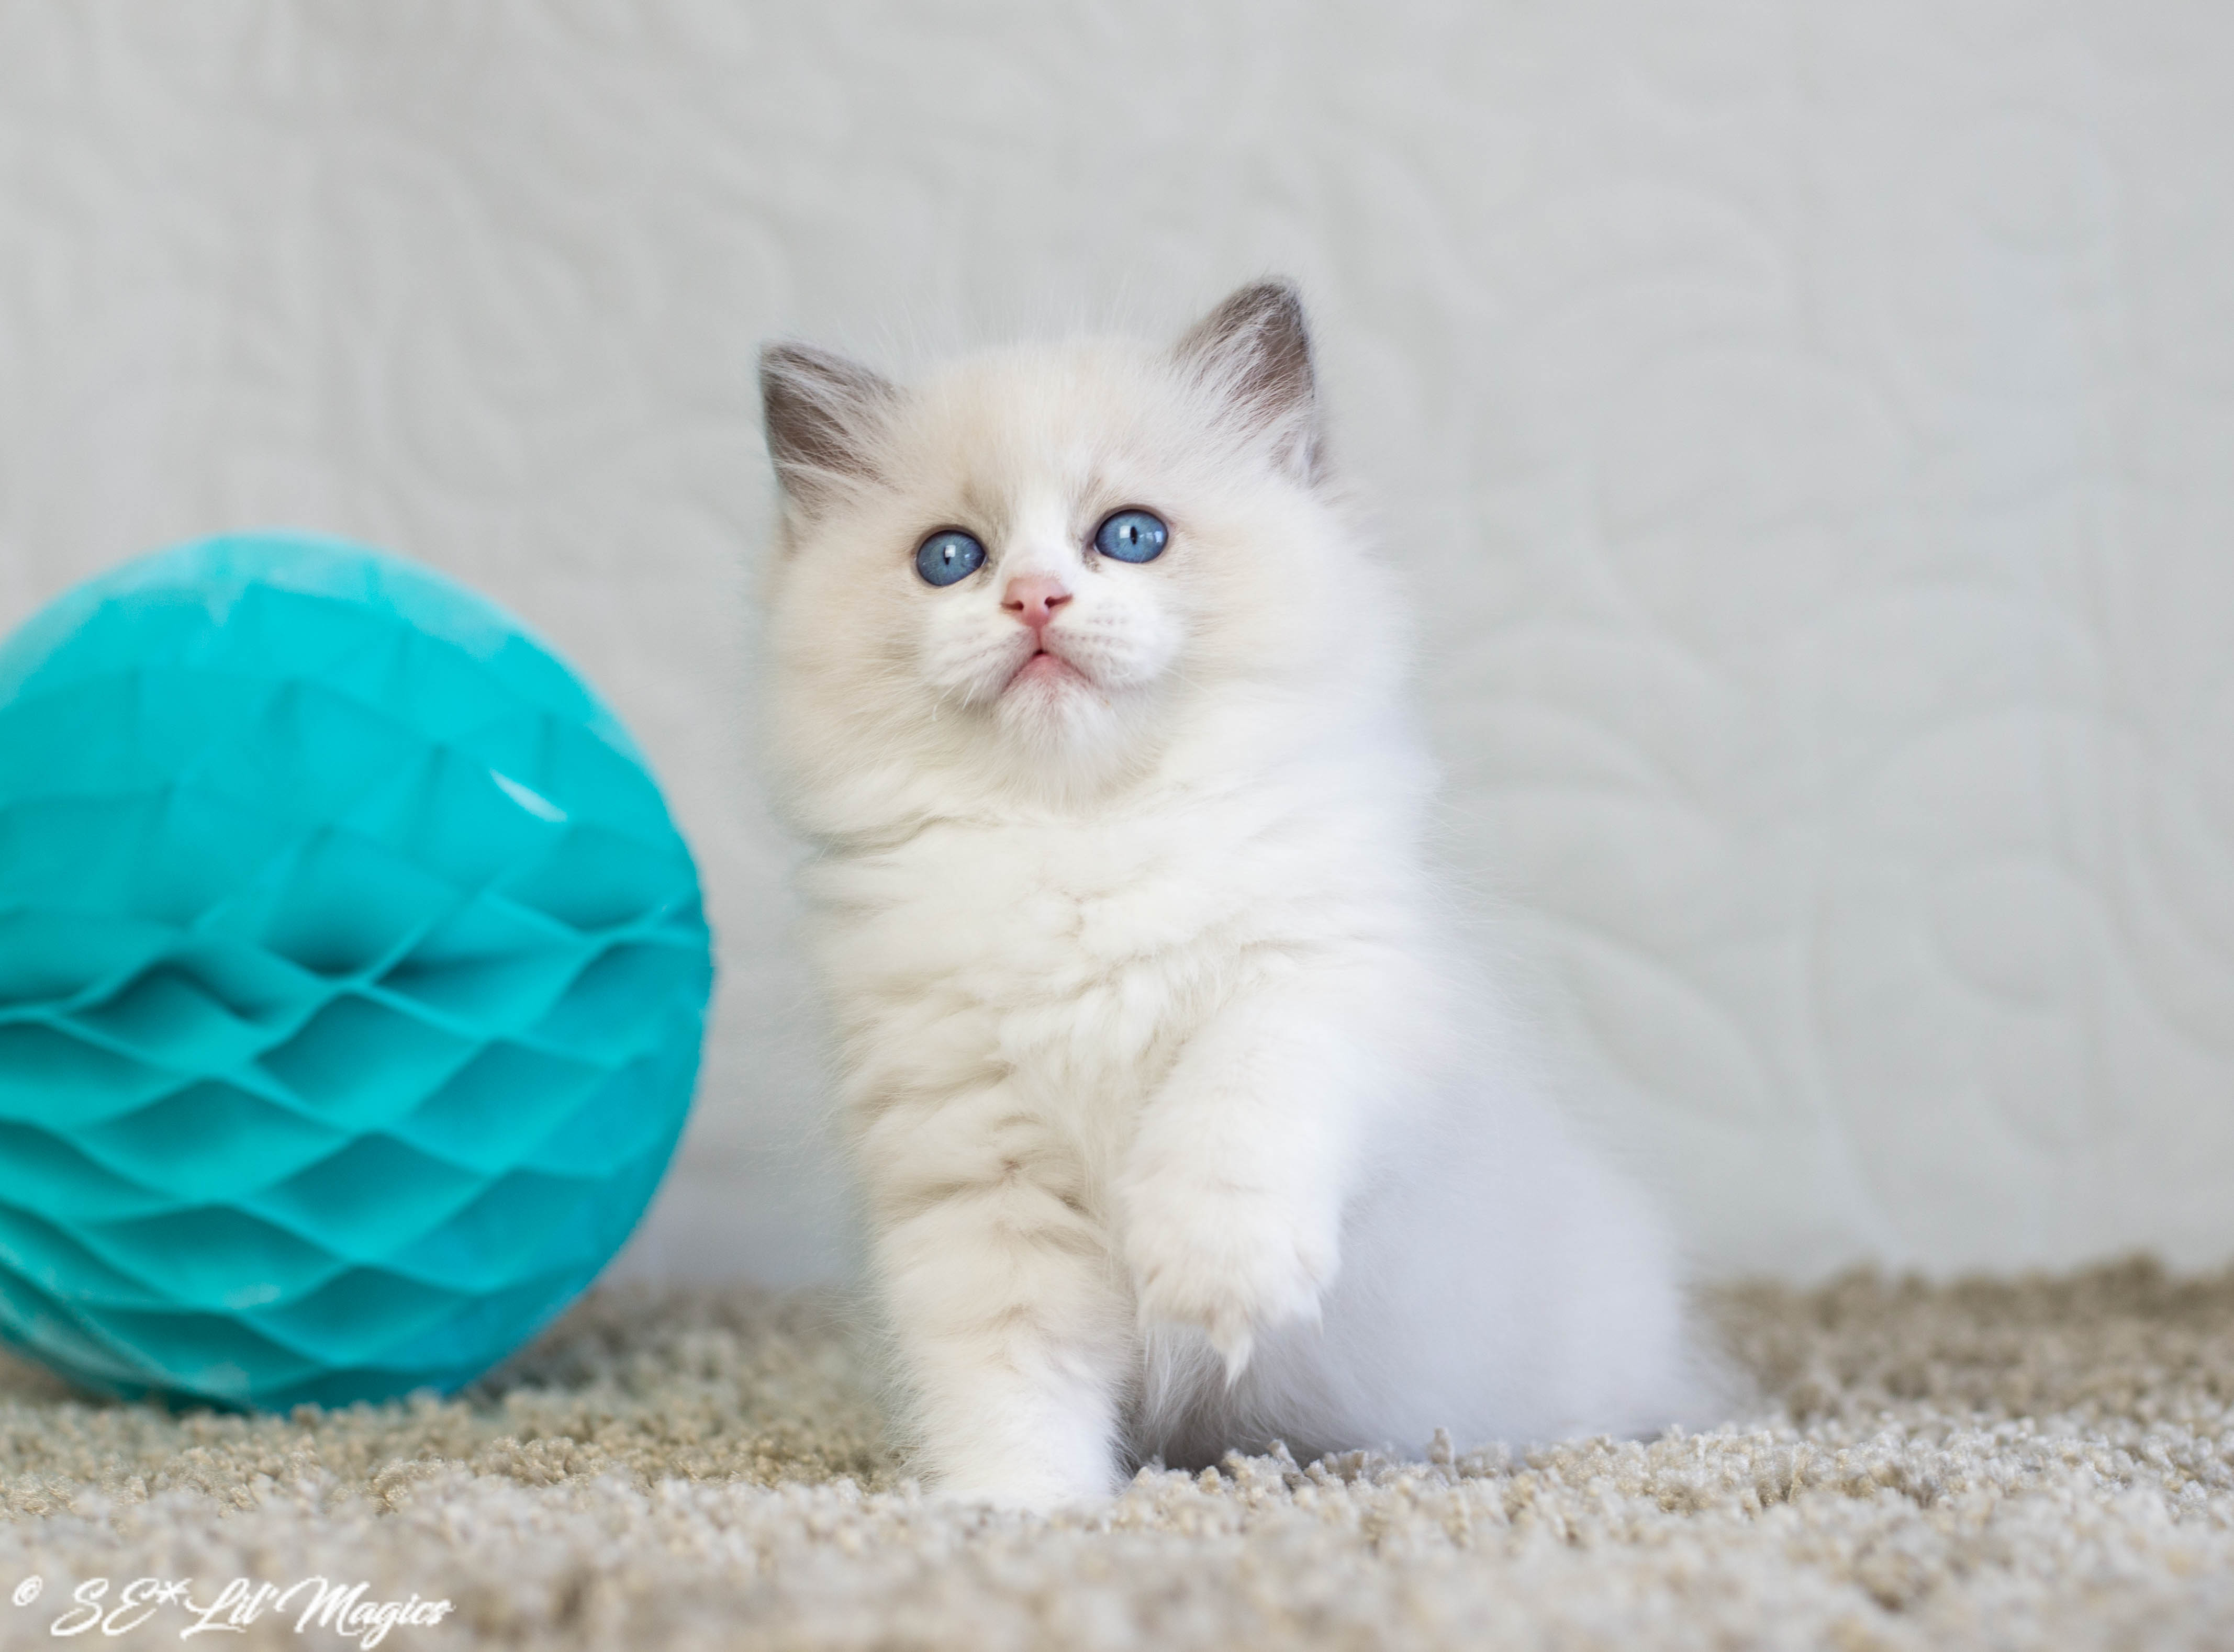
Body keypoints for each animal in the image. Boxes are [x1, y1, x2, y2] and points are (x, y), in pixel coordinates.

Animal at [754, 281, 1721, 1509]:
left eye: (1130, 537)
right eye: (949, 558)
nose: (1033, 599)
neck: (1085, 840)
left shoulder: (1334, 985)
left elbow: (1235, 1098)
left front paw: (1213, 1274)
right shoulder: (975, 1168)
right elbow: (1010, 1371)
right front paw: (1016, 1510)